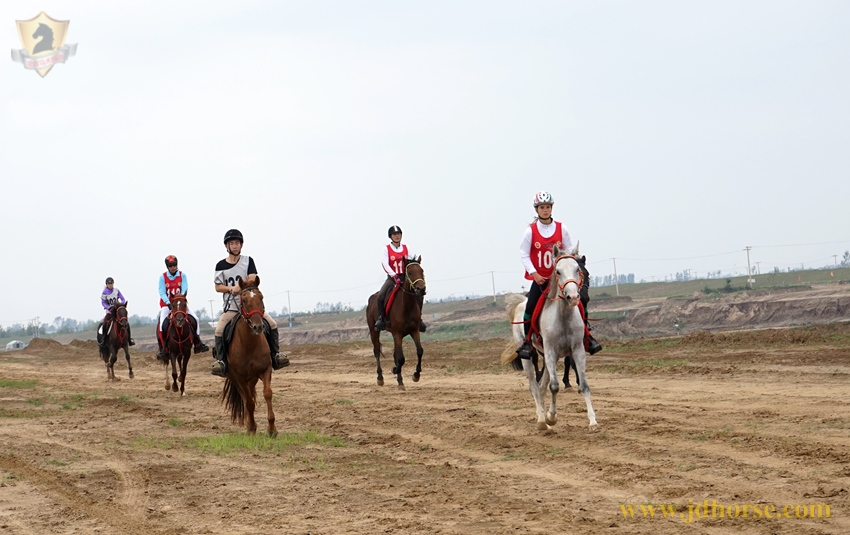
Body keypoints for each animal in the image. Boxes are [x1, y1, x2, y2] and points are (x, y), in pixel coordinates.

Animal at [222, 274, 278, 438]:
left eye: (261, 297)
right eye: (244, 300)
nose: (258, 327)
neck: (249, 344)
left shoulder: (265, 370)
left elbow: (267, 393)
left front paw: (272, 429)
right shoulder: (239, 377)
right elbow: (249, 402)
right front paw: (252, 428)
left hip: (251, 379)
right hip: (236, 379)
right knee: (245, 399)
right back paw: (249, 426)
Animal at [364, 256, 424, 390]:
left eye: (422, 271)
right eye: (410, 272)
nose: (421, 289)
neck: (407, 306)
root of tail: (372, 298)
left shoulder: (414, 331)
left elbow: (419, 351)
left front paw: (416, 375)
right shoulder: (398, 334)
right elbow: (400, 358)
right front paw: (395, 370)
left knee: (394, 354)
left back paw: (399, 380)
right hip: (373, 330)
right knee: (377, 351)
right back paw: (380, 378)